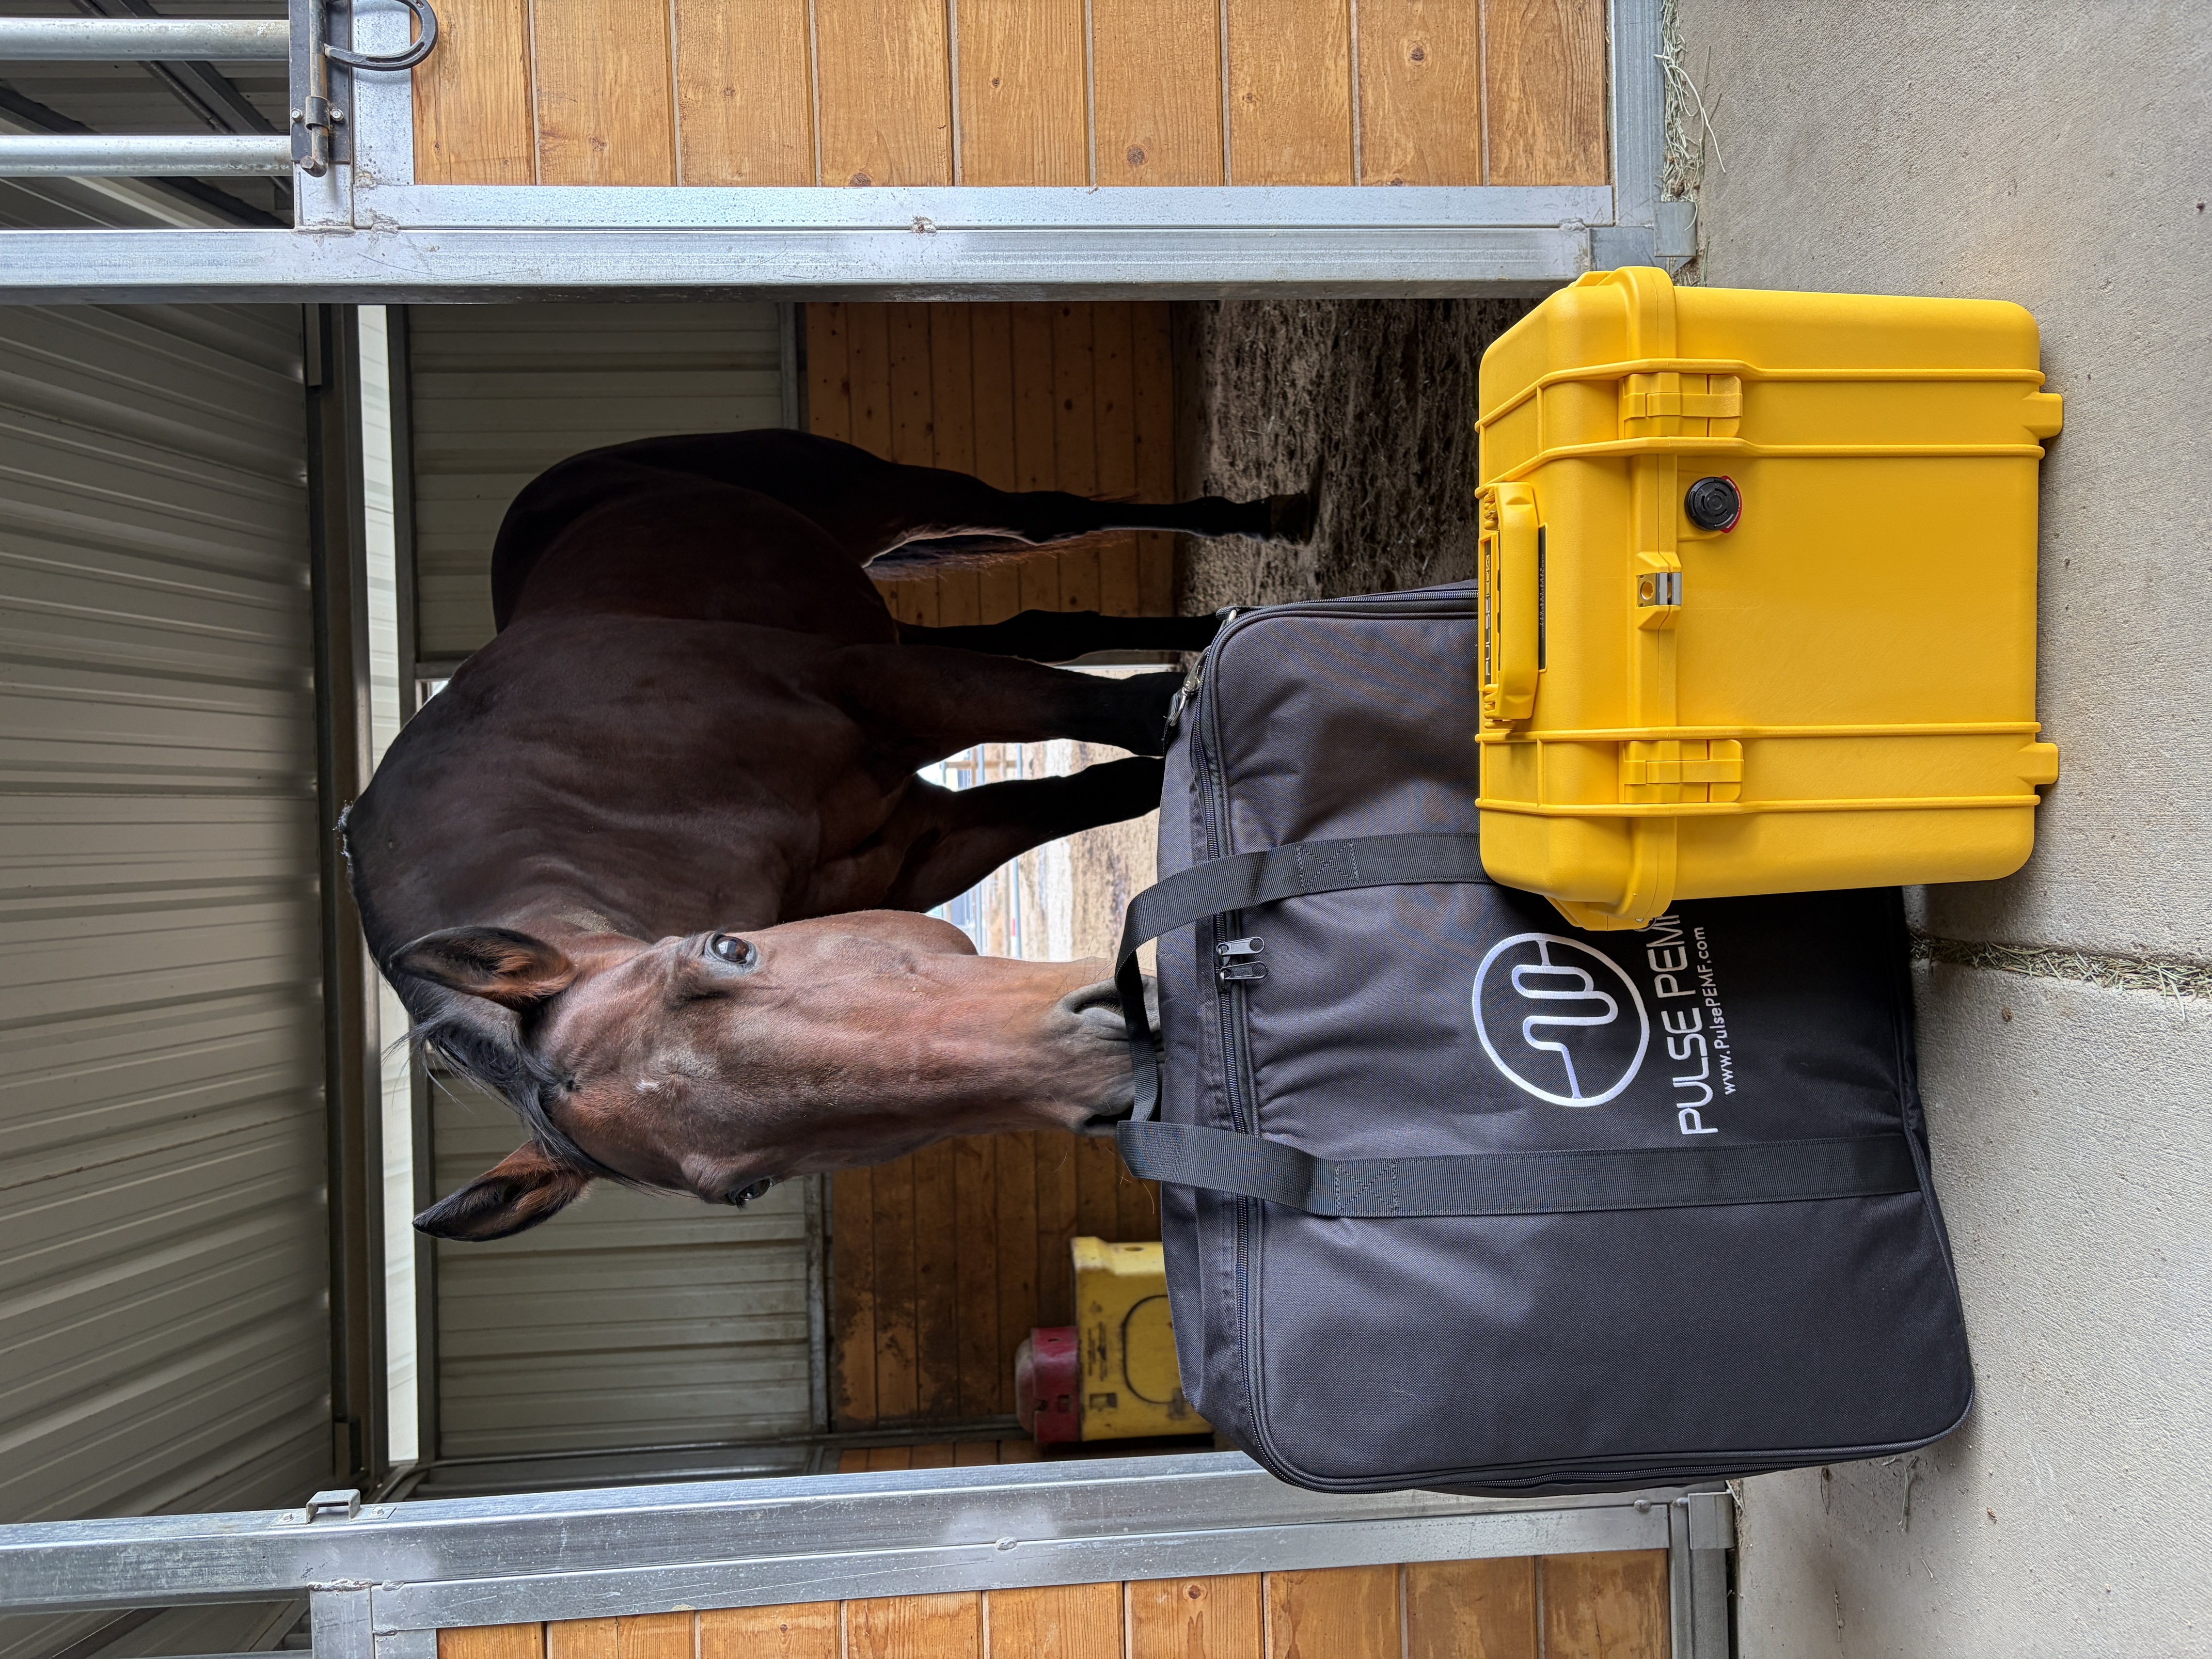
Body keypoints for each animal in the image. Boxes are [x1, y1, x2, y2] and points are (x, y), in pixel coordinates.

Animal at [345, 429, 1306, 1240]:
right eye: (749, 1186)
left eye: (725, 948)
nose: (1119, 1061)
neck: (592, 795)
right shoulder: (928, 842)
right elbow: (1112, 784)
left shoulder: (876, 683)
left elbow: (1121, 714)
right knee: (1044, 626)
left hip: (883, 499)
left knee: (1046, 516)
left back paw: (1272, 515)